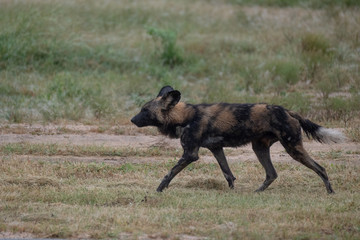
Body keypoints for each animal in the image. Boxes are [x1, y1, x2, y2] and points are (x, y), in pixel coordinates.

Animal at [131, 86, 344, 193]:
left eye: (145, 111)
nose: (132, 119)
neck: (184, 117)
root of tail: (288, 110)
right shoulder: (216, 149)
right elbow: (227, 173)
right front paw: (232, 191)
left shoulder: (190, 154)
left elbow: (169, 173)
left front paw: (159, 189)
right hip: (259, 148)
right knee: (272, 173)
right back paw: (257, 192)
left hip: (293, 148)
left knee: (321, 168)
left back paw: (330, 192)